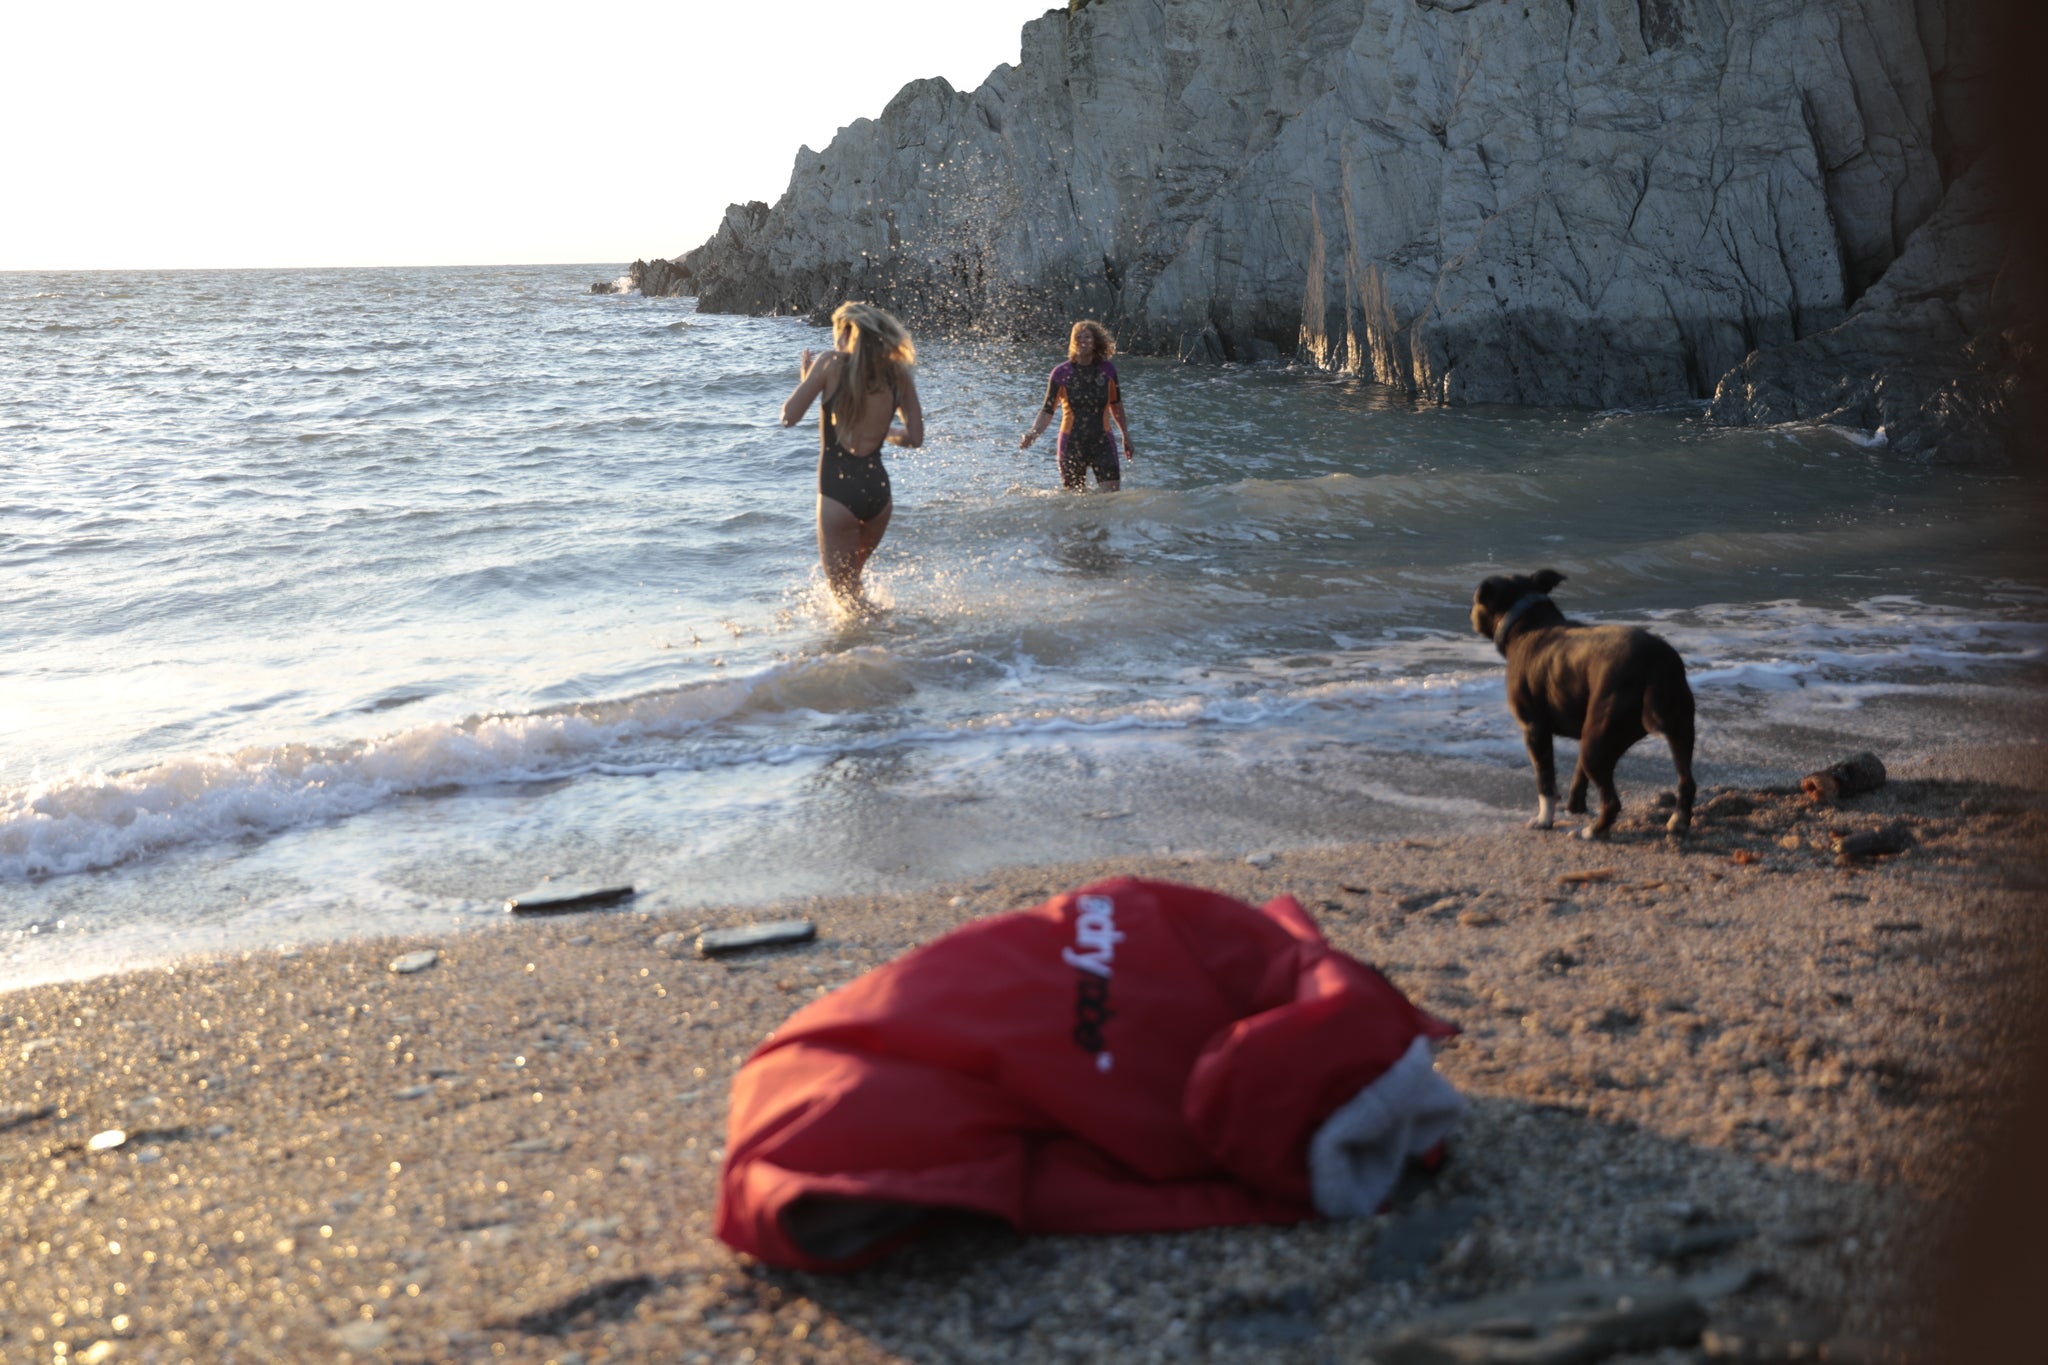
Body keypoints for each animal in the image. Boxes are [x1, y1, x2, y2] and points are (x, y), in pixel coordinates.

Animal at [1474, 573, 1695, 839]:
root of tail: (1655, 663)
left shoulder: (1534, 730)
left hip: (1597, 743)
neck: (1528, 621)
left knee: (1612, 801)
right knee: (1686, 780)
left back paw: (1593, 832)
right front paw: (1575, 807)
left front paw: (1544, 820)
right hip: (1676, 730)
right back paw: (1678, 821)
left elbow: (1545, 781)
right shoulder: (1584, 728)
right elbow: (1579, 776)